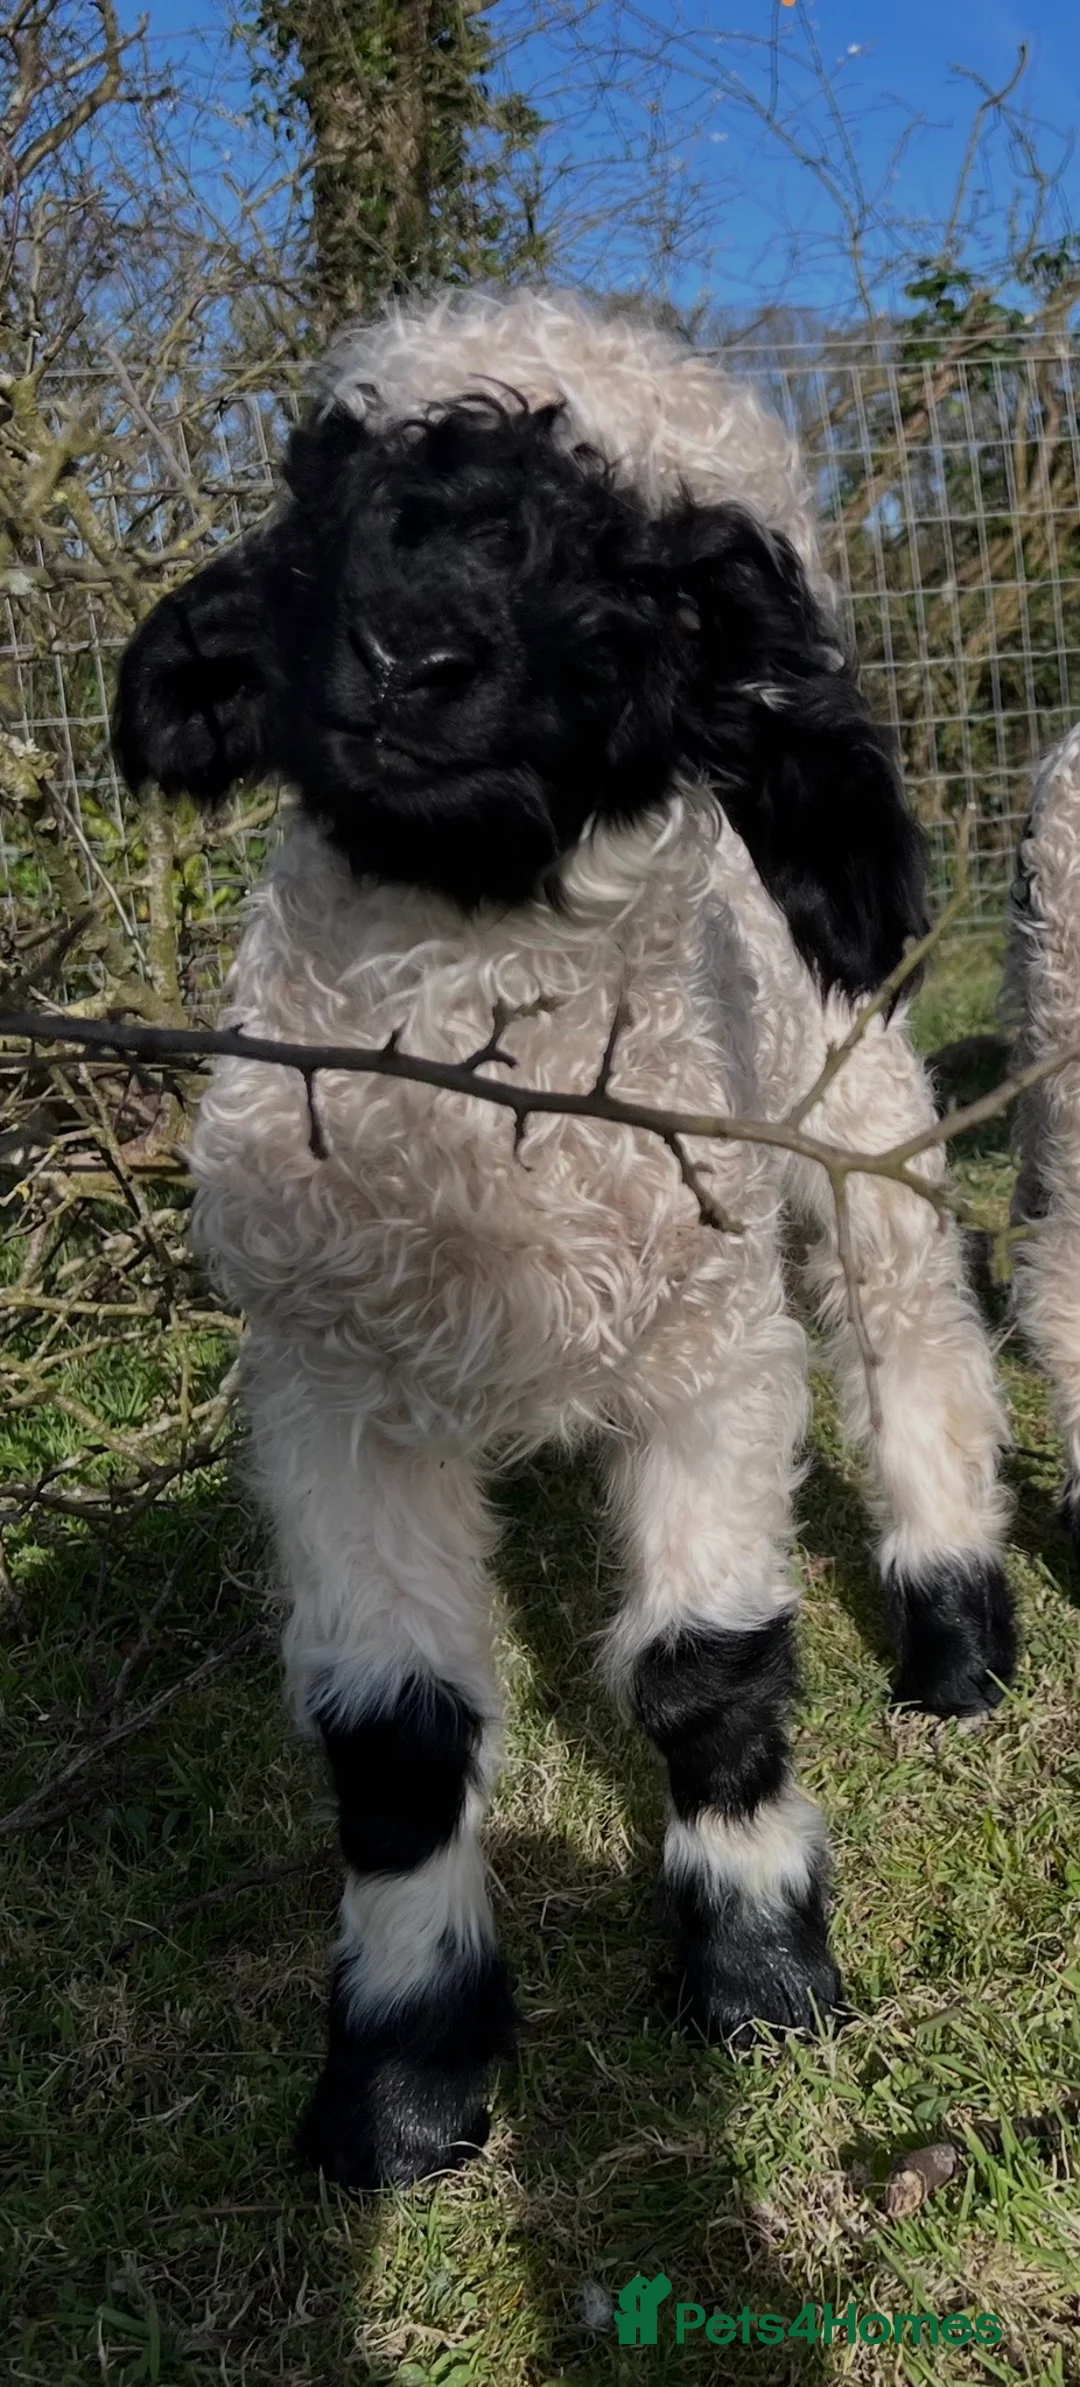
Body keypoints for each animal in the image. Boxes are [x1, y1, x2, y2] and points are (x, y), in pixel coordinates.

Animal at [113, 288, 1014, 2193]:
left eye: (657, 575)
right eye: (319, 495)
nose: (409, 656)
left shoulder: (711, 1356)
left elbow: (706, 1674)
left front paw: (760, 1980)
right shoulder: (330, 1390)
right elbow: (395, 1746)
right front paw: (401, 2085)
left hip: (859, 1115)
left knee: (916, 1344)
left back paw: (961, 1643)